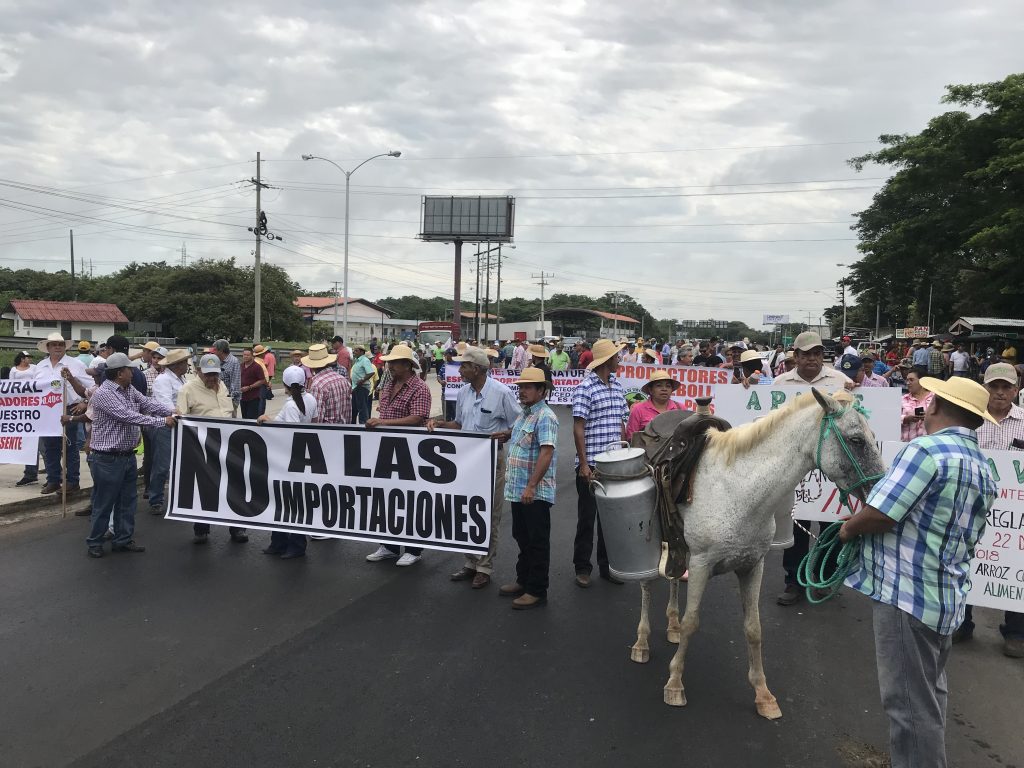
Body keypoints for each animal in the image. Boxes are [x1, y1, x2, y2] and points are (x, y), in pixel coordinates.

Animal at [626, 391, 884, 720]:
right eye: (856, 440)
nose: (880, 488)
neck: (739, 491)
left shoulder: (753, 565)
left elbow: (754, 628)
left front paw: (763, 694)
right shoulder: (701, 564)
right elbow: (691, 622)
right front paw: (674, 683)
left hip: (676, 542)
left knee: (672, 578)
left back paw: (670, 626)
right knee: (647, 587)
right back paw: (641, 642)